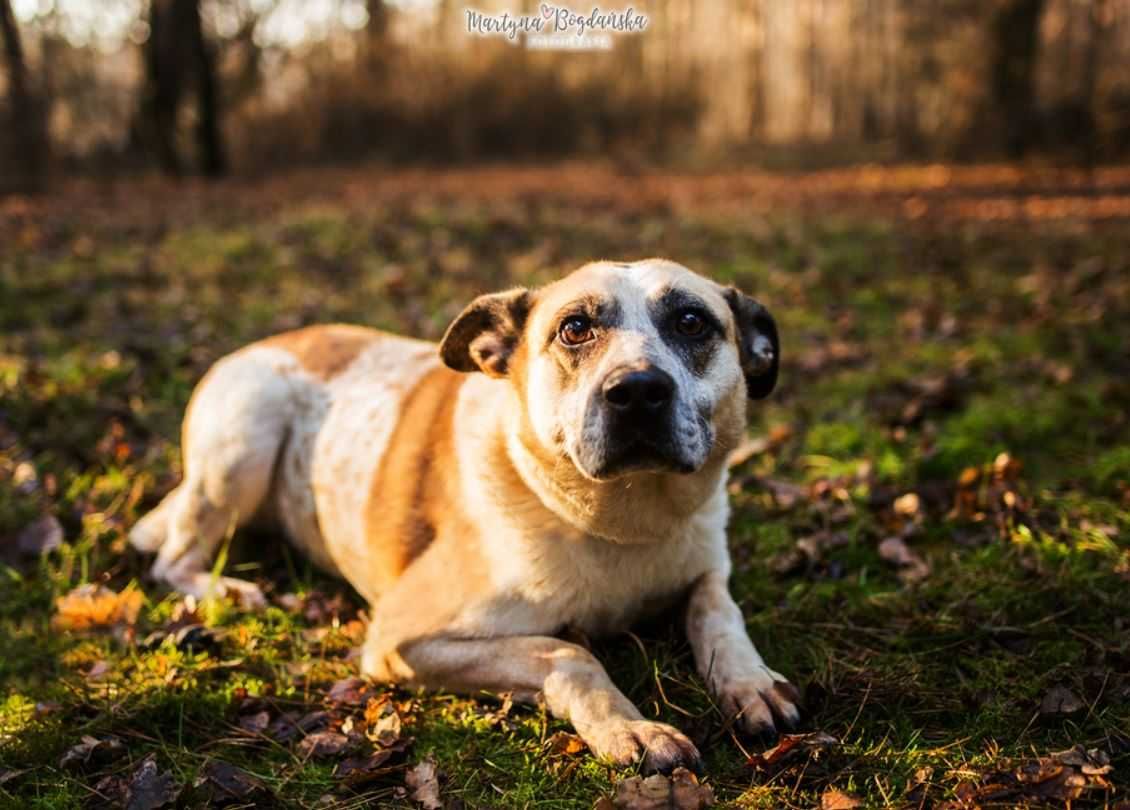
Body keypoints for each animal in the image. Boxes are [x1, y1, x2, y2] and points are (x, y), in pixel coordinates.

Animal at [132, 258, 800, 772]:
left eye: (691, 321)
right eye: (575, 328)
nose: (637, 390)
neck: (618, 522)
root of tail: (263, 343)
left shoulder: (706, 565)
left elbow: (717, 610)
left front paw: (750, 679)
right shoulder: (404, 637)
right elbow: (568, 653)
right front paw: (632, 728)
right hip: (244, 442)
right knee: (173, 557)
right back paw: (225, 589)